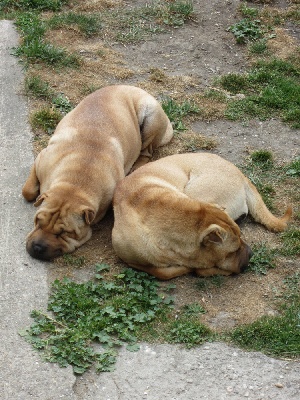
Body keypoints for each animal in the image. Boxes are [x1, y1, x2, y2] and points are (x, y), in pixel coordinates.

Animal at [22, 85, 173, 260]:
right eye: (38, 221)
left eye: (65, 233)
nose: (38, 247)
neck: (77, 181)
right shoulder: (41, 159)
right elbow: (27, 191)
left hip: (151, 118)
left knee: (147, 150)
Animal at [111, 152, 292, 280]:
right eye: (232, 251)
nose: (251, 253)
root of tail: (242, 176)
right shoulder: (132, 260)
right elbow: (162, 272)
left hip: (197, 192)